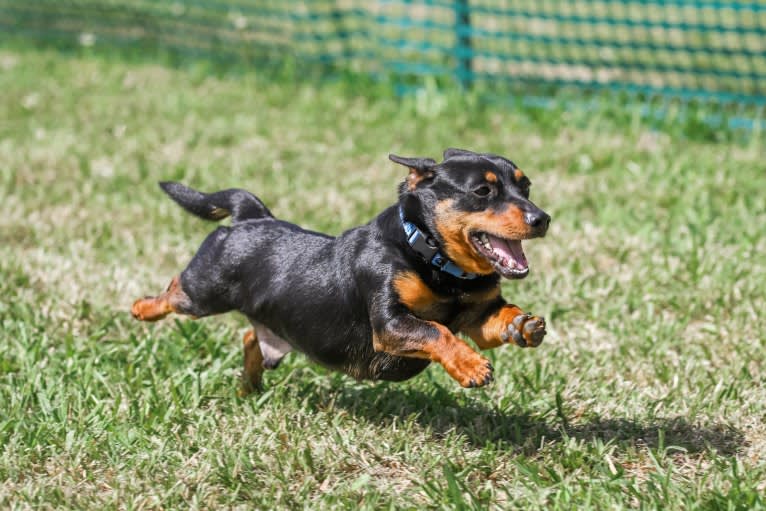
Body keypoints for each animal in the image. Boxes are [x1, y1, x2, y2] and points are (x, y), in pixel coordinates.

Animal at [132, 148, 552, 396]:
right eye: (483, 191)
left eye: (527, 187)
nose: (543, 219)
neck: (437, 263)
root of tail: (253, 216)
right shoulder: (390, 324)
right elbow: (438, 330)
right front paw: (471, 366)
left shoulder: (477, 316)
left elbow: (491, 321)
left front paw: (522, 326)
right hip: (203, 292)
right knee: (176, 289)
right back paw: (142, 308)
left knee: (251, 338)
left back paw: (249, 387)